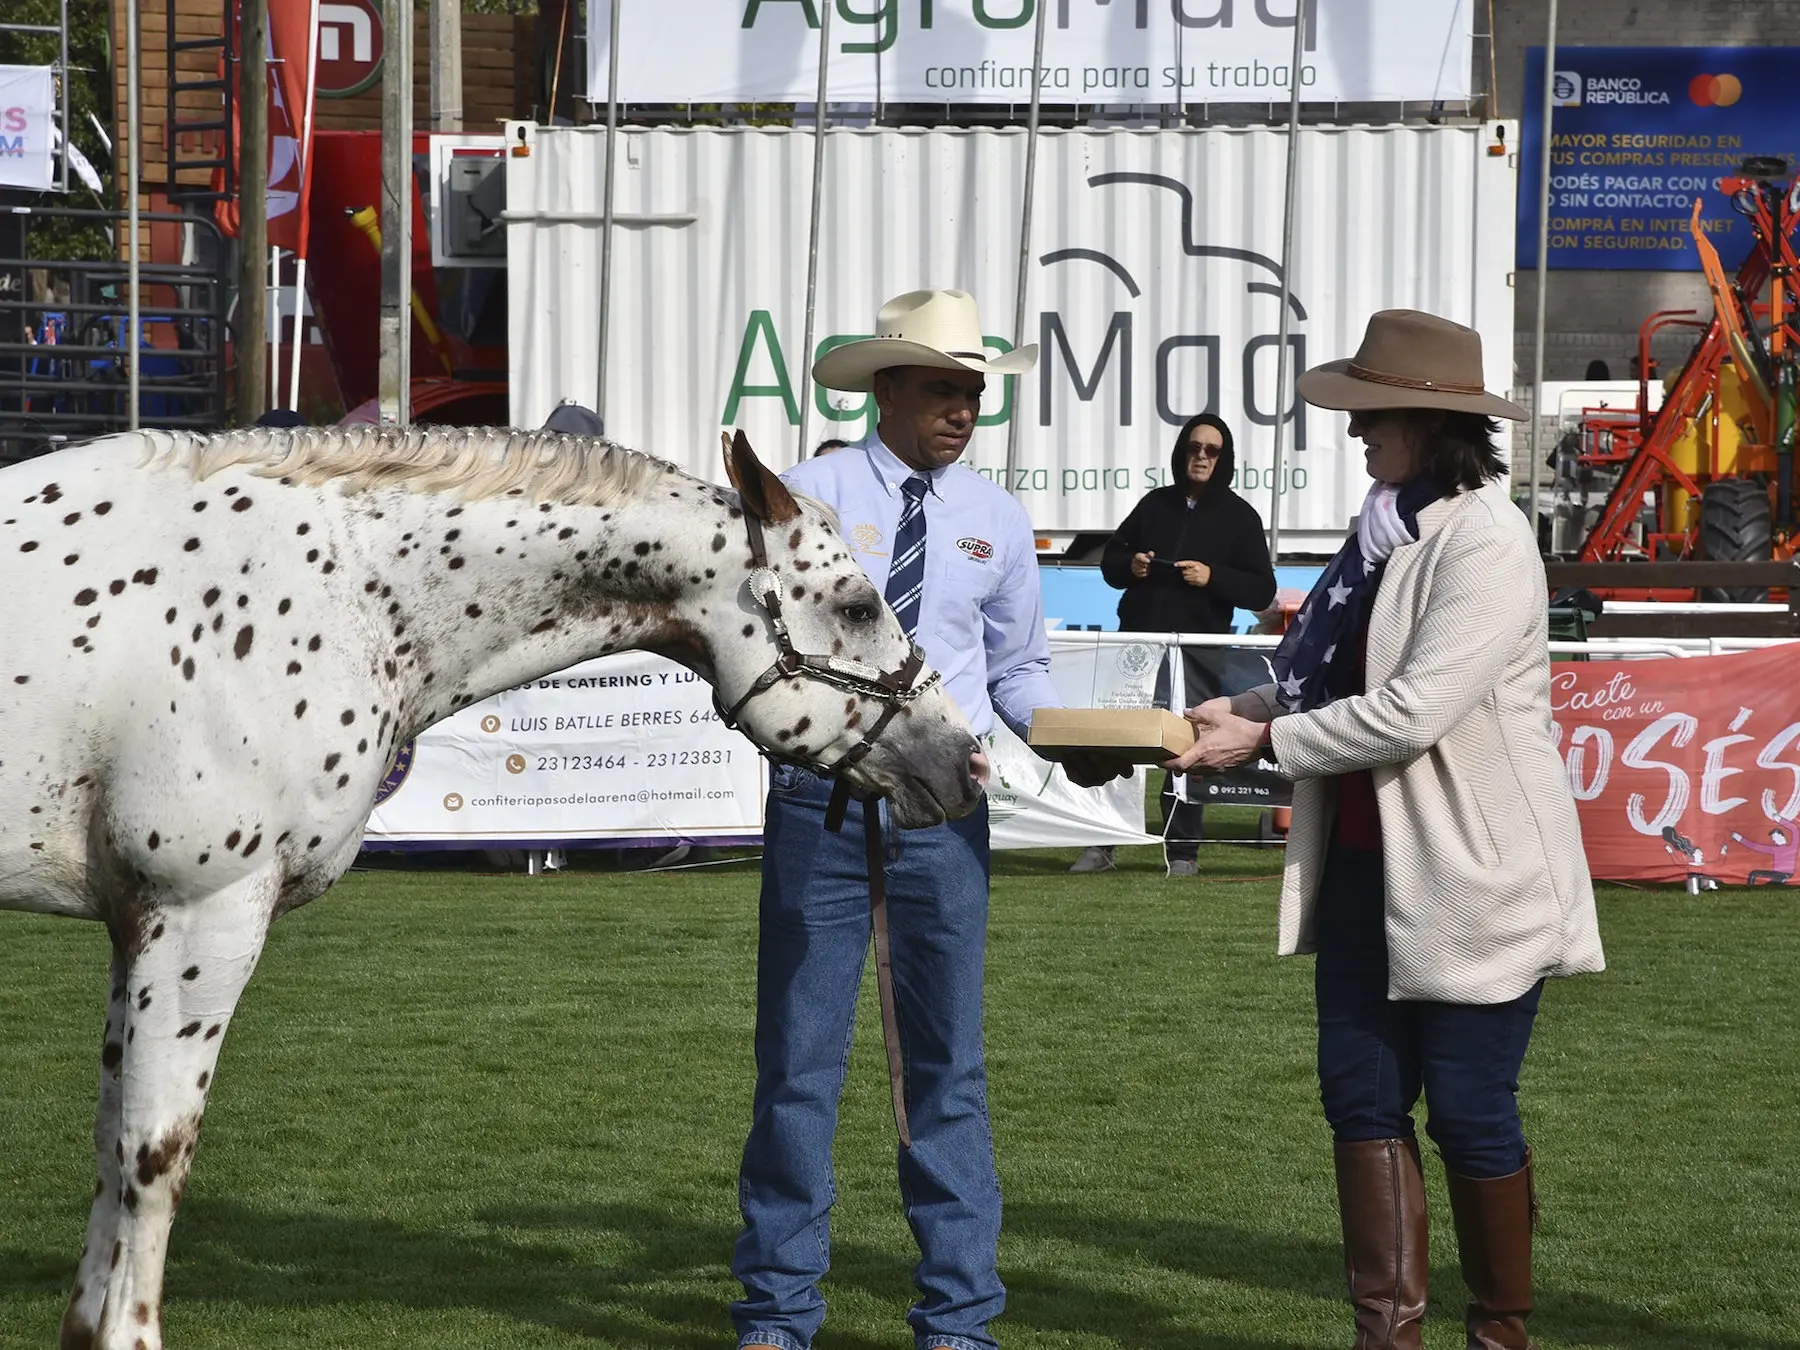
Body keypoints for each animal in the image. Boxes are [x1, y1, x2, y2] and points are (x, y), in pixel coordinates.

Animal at [0, 424, 986, 1350]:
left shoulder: (139, 925)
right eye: (857, 604)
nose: (968, 762)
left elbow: (111, 1146)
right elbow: (152, 1154)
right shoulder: (199, 913)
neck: (325, 588)